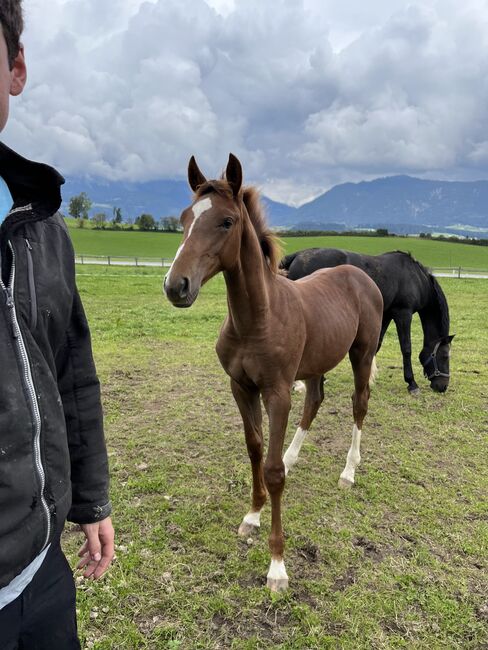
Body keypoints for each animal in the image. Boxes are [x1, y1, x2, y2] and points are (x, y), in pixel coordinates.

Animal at [166, 154, 384, 588]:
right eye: (184, 218)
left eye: (227, 221)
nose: (176, 286)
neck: (256, 321)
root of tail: (360, 275)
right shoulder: (240, 387)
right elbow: (255, 449)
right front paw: (252, 515)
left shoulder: (277, 392)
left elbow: (272, 471)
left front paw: (278, 565)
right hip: (316, 362)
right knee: (315, 400)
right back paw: (294, 454)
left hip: (362, 354)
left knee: (359, 404)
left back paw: (349, 471)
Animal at [280, 247, 456, 390]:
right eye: (445, 356)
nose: (443, 386)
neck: (415, 278)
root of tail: (297, 255)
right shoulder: (403, 314)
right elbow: (406, 348)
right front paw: (411, 383)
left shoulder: (387, 314)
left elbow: (377, 345)